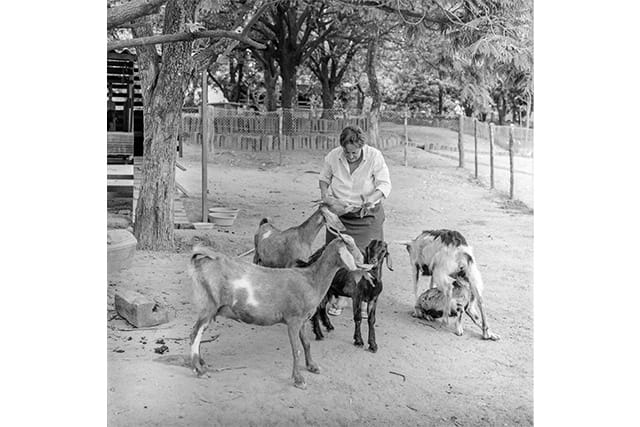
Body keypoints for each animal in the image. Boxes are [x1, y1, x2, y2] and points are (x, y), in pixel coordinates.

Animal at [188, 232, 372, 390]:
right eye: (350, 246)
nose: (365, 262)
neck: (311, 280)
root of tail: (202, 260)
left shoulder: (302, 320)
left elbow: (306, 343)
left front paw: (312, 366)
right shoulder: (293, 320)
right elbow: (296, 350)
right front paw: (299, 380)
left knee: (198, 334)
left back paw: (201, 363)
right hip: (208, 305)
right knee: (194, 334)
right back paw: (199, 370)